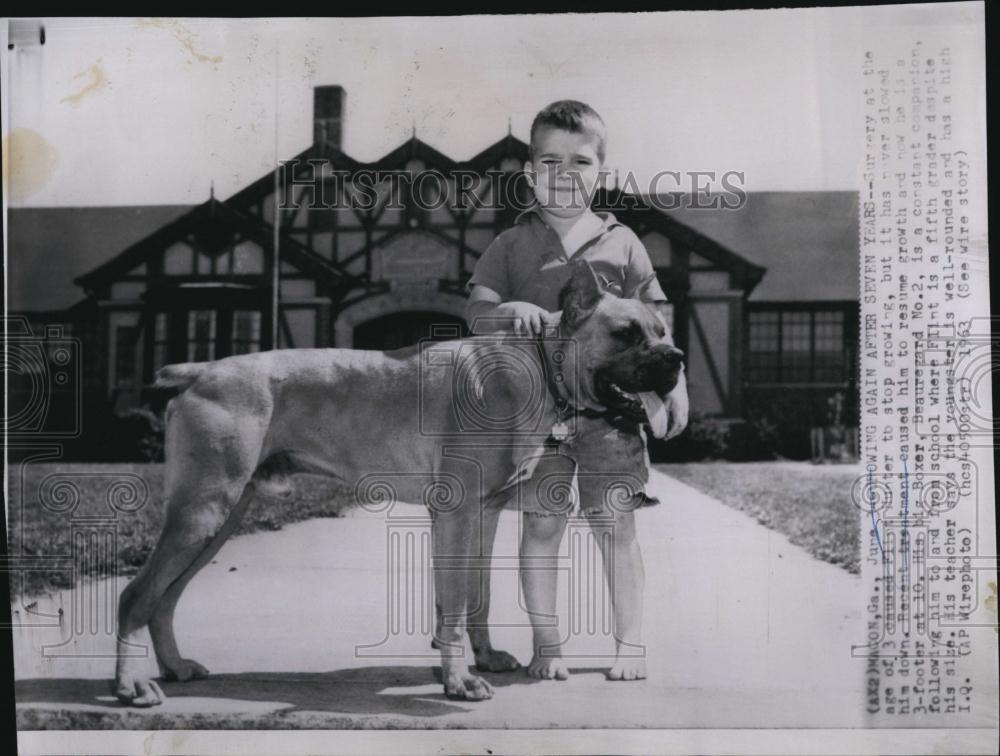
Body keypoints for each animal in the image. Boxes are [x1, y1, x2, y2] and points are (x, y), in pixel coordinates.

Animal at [111, 262, 688, 704]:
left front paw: (485, 658)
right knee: (137, 594)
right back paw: (132, 685)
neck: (539, 369)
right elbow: (453, 604)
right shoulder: (456, 514)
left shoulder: (482, 516)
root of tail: (203, 370)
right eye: (626, 334)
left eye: (663, 333)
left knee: (165, 597)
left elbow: (476, 595)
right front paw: (459, 681)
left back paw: (173, 666)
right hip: (203, 511)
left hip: (217, 521)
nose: (677, 360)